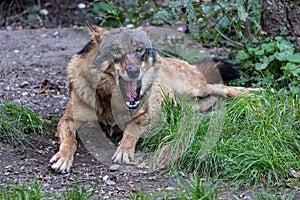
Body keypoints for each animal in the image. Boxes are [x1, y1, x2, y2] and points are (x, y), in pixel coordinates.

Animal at [49, 22, 258, 173]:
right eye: (116, 51)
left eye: (139, 50)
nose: (134, 71)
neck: (108, 98)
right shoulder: (67, 120)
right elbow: (70, 140)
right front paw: (63, 158)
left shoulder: (146, 117)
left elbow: (131, 130)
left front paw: (123, 151)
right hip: (187, 102)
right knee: (211, 98)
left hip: (194, 88)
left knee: (220, 87)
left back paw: (256, 94)